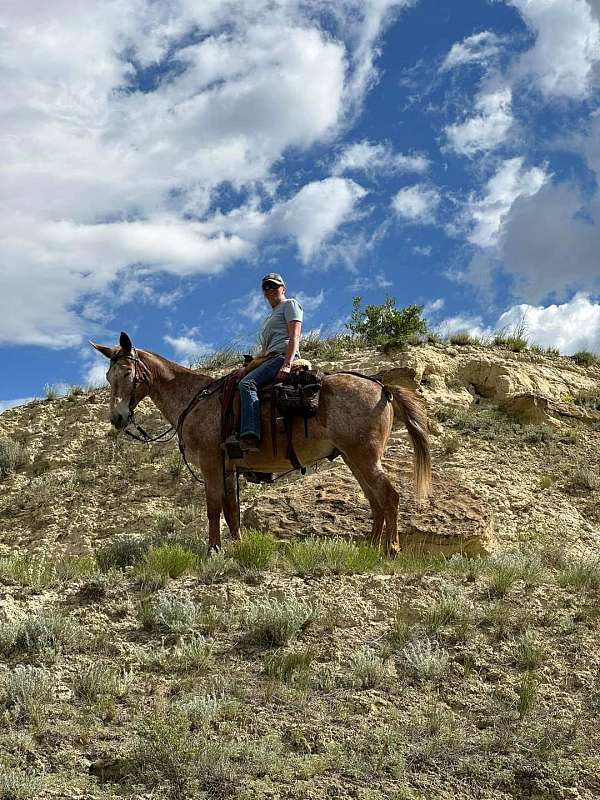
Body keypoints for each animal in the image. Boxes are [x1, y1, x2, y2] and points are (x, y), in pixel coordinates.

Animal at [91, 332, 432, 556]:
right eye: (108, 377)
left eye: (127, 373)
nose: (118, 417)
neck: (196, 400)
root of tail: (383, 387)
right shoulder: (228, 466)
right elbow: (231, 510)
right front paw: (237, 546)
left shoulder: (211, 462)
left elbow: (213, 507)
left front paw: (213, 551)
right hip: (353, 457)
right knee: (375, 500)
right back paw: (370, 547)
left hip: (365, 456)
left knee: (389, 496)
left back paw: (390, 549)